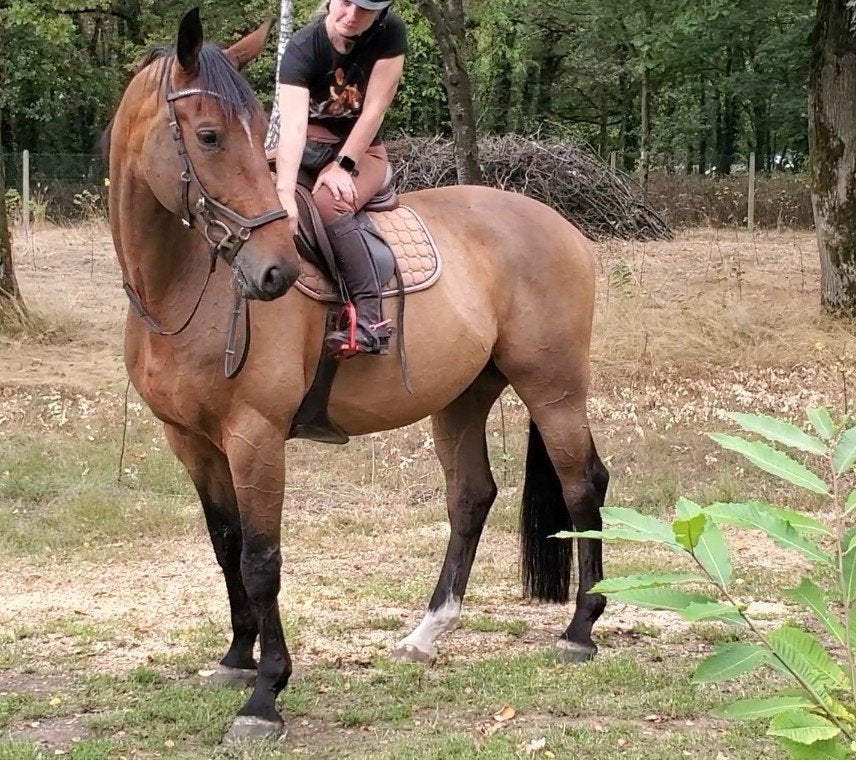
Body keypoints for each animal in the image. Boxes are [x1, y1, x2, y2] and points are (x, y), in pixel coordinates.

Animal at [105, 8, 608, 743]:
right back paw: (427, 633)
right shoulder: (191, 442)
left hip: (554, 388)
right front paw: (235, 657)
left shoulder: (255, 439)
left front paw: (265, 694)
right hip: (463, 397)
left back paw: (580, 629)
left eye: (254, 133)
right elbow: (226, 546)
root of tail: (562, 225)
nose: (274, 273)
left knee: (582, 486)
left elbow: (261, 559)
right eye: (208, 135)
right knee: (471, 497)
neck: (185, 286)